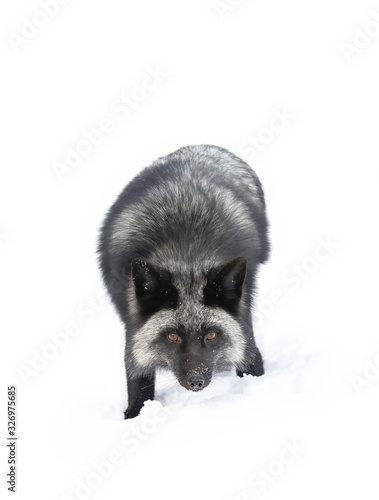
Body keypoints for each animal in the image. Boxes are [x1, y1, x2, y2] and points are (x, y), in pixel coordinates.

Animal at [98, 145, 270, 418]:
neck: (186, 259)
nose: (196, 381)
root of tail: (203, 147)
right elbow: (137, 375)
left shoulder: (243, 322)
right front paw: (135, 415)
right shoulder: (133, 323)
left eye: (211, 335)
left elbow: (250, 356)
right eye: (172, 337)